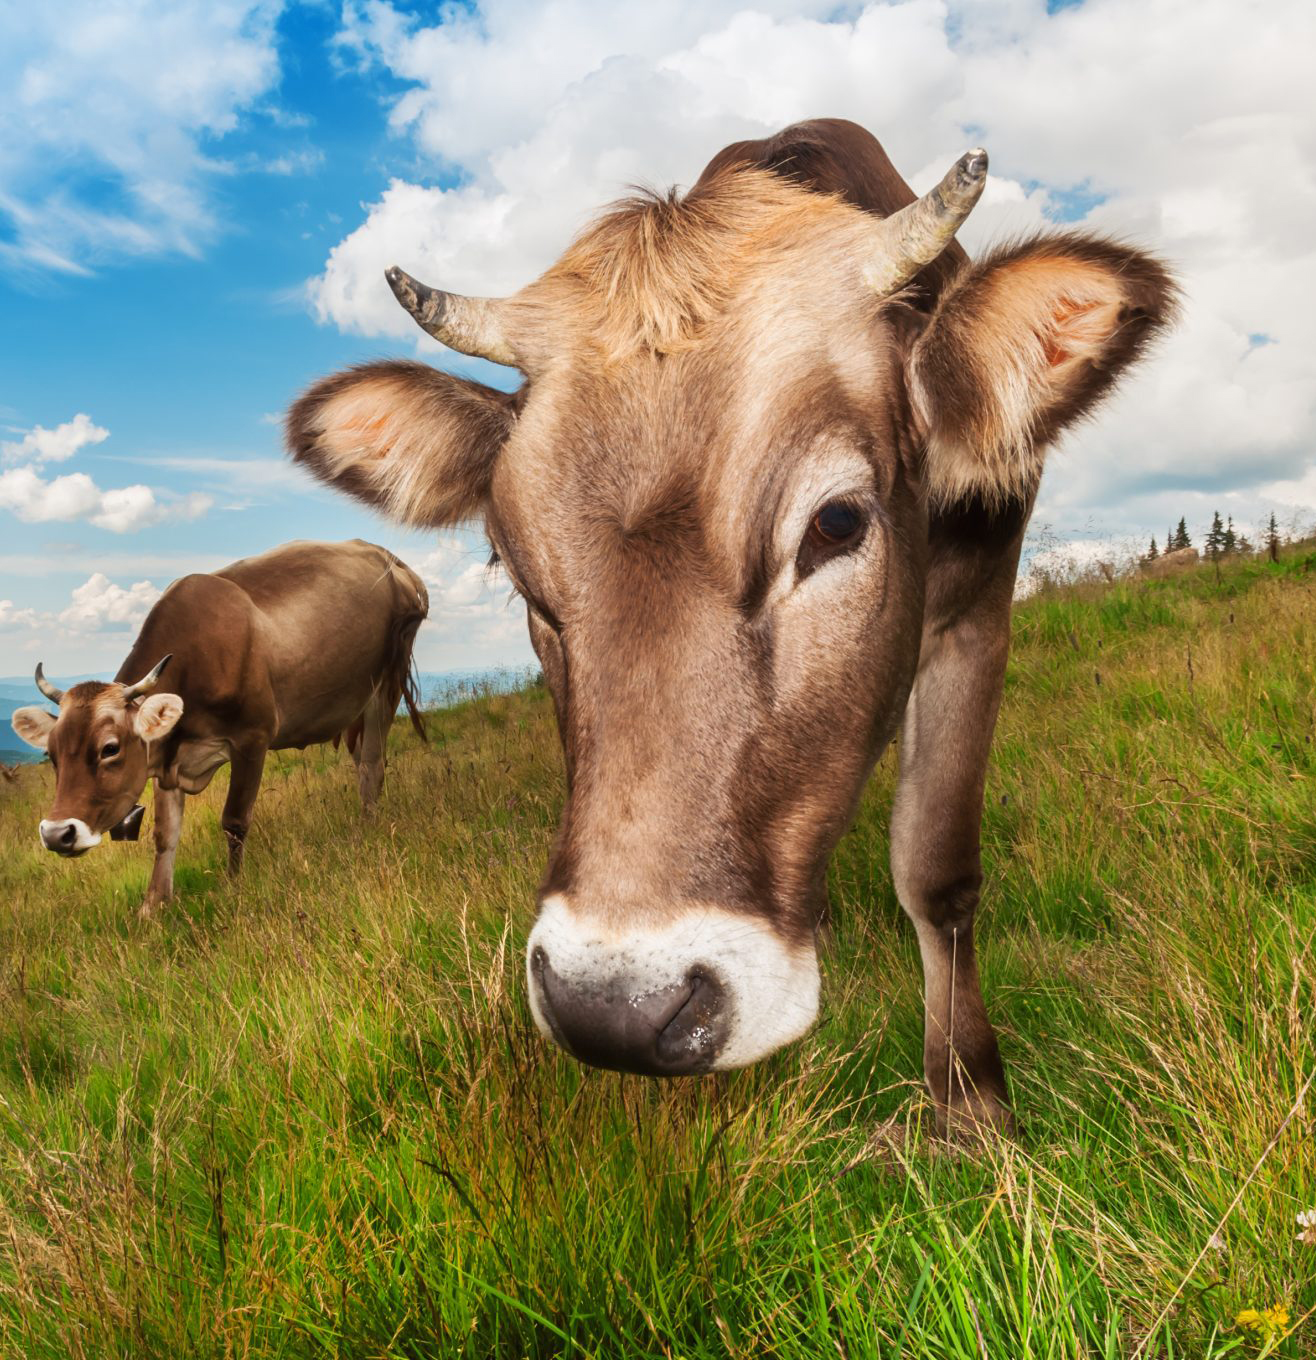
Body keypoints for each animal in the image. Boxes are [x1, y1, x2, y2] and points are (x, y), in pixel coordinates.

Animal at [11, 535, 432, 919]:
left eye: (109, 748)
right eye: (51, 754)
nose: (56, 834)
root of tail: (389, 558)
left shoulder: (252, 738)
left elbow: (234, 821)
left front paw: (232, 888)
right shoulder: (168, 756)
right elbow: (165, 834)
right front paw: (153, 904)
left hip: (385, 683)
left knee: (372, 765)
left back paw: (367, 830)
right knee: (363, 760)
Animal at [285, 119, 1174, 1136]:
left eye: (837, 523)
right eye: (513, 566)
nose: (616, 1009)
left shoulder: (978, 605)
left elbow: (937, 869)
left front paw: (969, 1105)